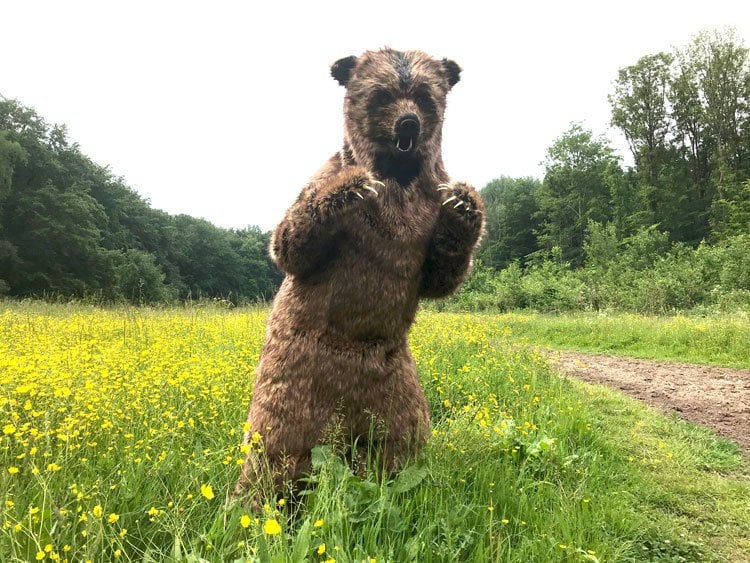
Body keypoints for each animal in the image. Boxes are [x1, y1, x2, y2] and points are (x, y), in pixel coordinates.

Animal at [236, 47, 485, 499]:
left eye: (423, 96)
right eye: (382, 95)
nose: (408, 123)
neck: (398, 178)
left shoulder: (427, 209)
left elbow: (441, 276)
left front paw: (464, 202)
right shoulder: (322, 178)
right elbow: (289, 245)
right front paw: (351, 188)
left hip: (394, 385)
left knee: (399, 441)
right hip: (296, 375)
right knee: (276, 447)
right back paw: (251, 501)